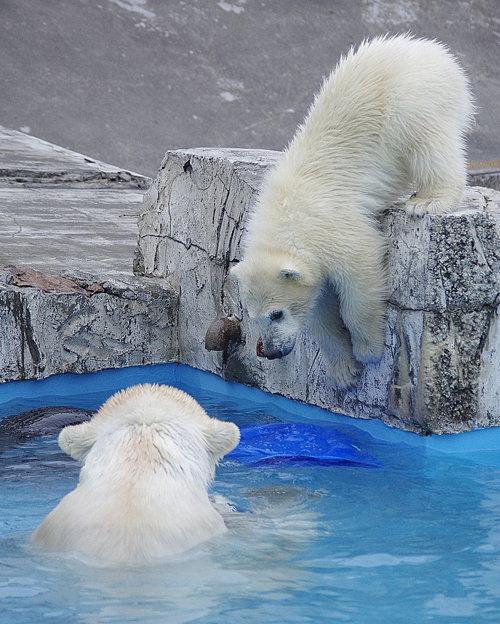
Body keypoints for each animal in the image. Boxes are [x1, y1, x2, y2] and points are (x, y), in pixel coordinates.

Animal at [230, 34, 472, 388]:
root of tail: (432, 50)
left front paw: (369, 351)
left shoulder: (330, 226)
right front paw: (344, 372)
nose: (272, 352)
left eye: (276, 313)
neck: (285, 213)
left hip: (410, 98)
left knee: (426, 140)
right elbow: (319, 307)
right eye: (252, 315)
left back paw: (428, 200)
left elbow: (360, 272)